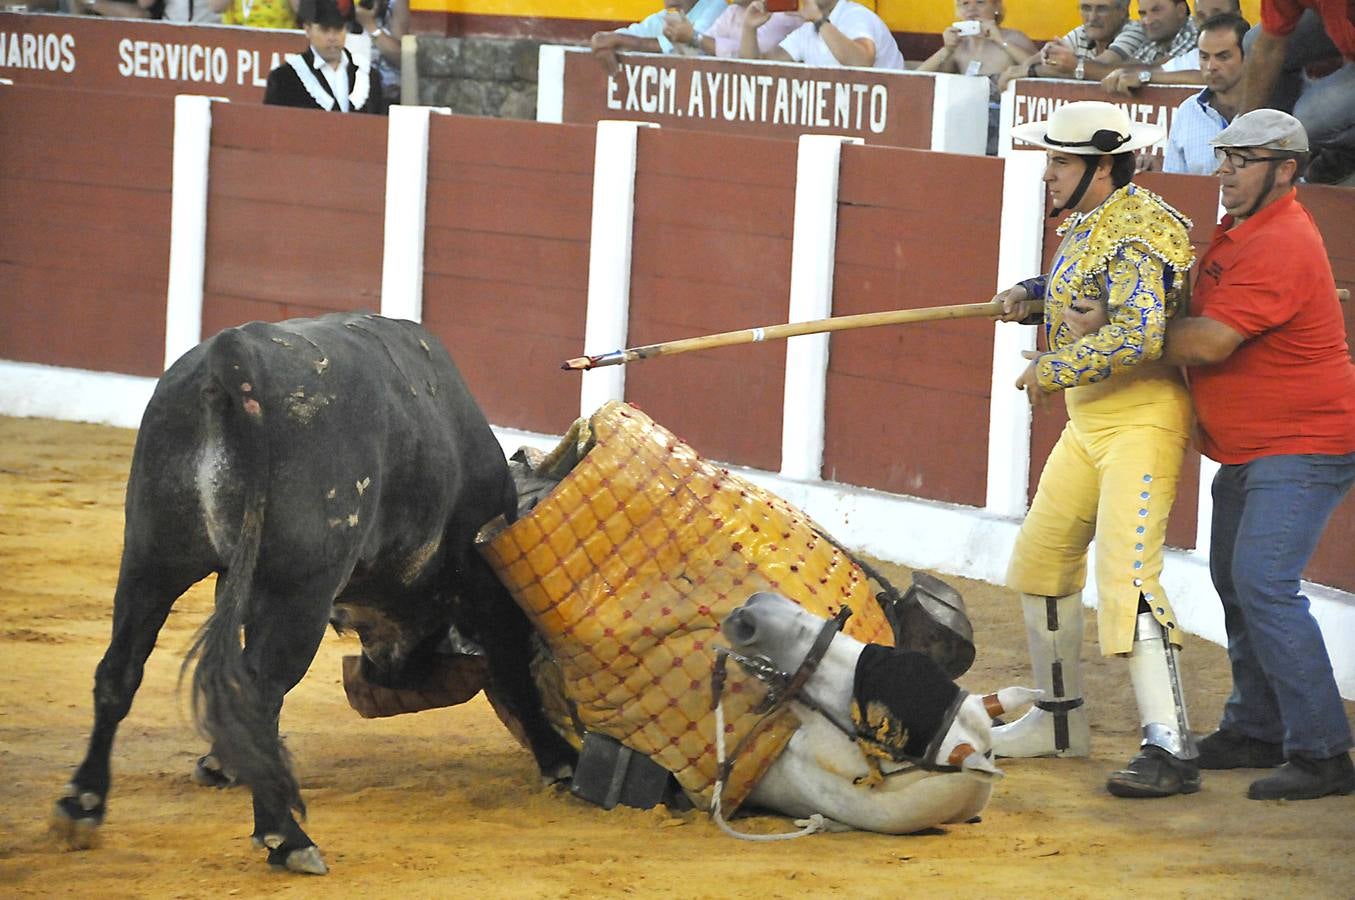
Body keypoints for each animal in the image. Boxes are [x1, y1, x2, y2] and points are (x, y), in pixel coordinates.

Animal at [49, 314, 571, 872]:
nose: (387, 673)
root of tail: (233, 357)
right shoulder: (478, 572)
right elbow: (511, 659)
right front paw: (559, 760)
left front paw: (221, 762)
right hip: (299, 592)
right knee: (260, 691)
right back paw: (287, 837)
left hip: (151, 560)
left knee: (121, 670)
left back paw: (83, 804)